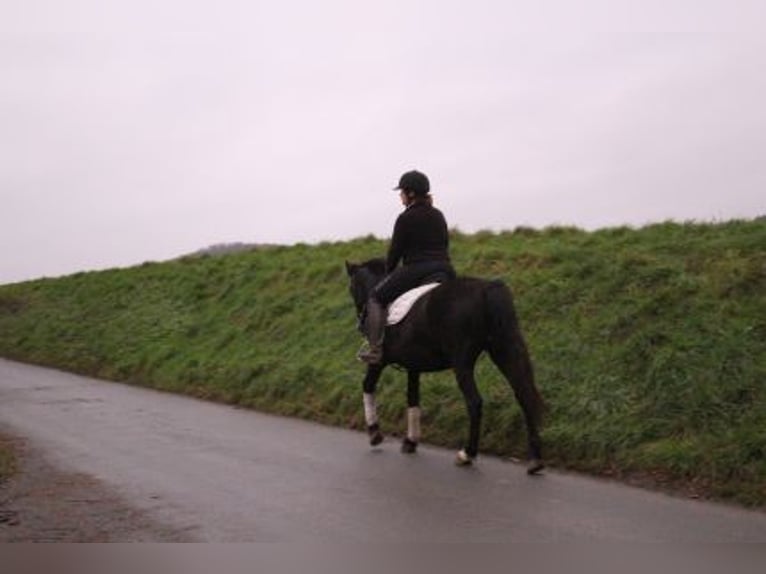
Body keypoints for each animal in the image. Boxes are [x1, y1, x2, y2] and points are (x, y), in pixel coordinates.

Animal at [342, 258, 544, 474]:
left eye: (351, 286)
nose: (360, 318)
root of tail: (487, 288)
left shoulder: (379, 361)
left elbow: (368, 385)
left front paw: (374, 433)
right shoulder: (414, 366)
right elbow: (413, 398)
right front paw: (410, 441)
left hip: (462, 363)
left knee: (475, 402)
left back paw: (467, 454)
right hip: (504, 350)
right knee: (524, 395)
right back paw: (535, 461)